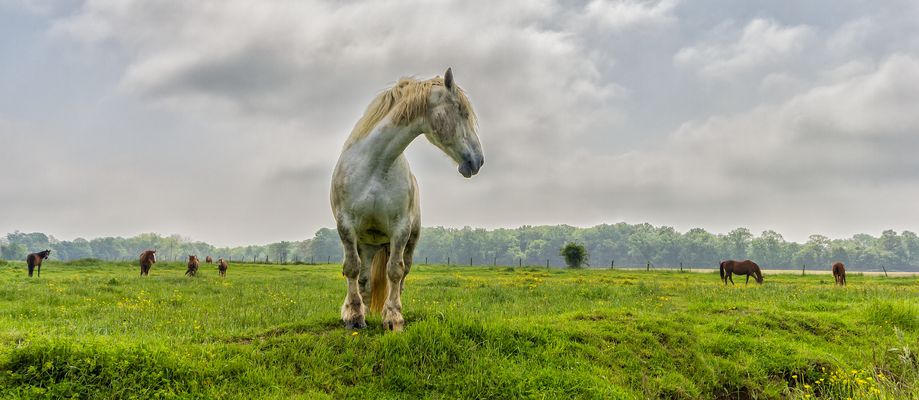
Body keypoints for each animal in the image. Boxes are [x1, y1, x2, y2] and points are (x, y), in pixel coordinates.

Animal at [331, 68, 483, 331]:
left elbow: (395, 271)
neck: (375, 166)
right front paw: (353, 315)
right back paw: (365, 310)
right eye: (462, 112)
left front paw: (393, 318)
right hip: (368, 243)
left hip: (407, 240)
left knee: (401, 275)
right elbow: (352, 269)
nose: (478, 161)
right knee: (364, 278)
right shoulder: (346, 225)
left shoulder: (400, 229)